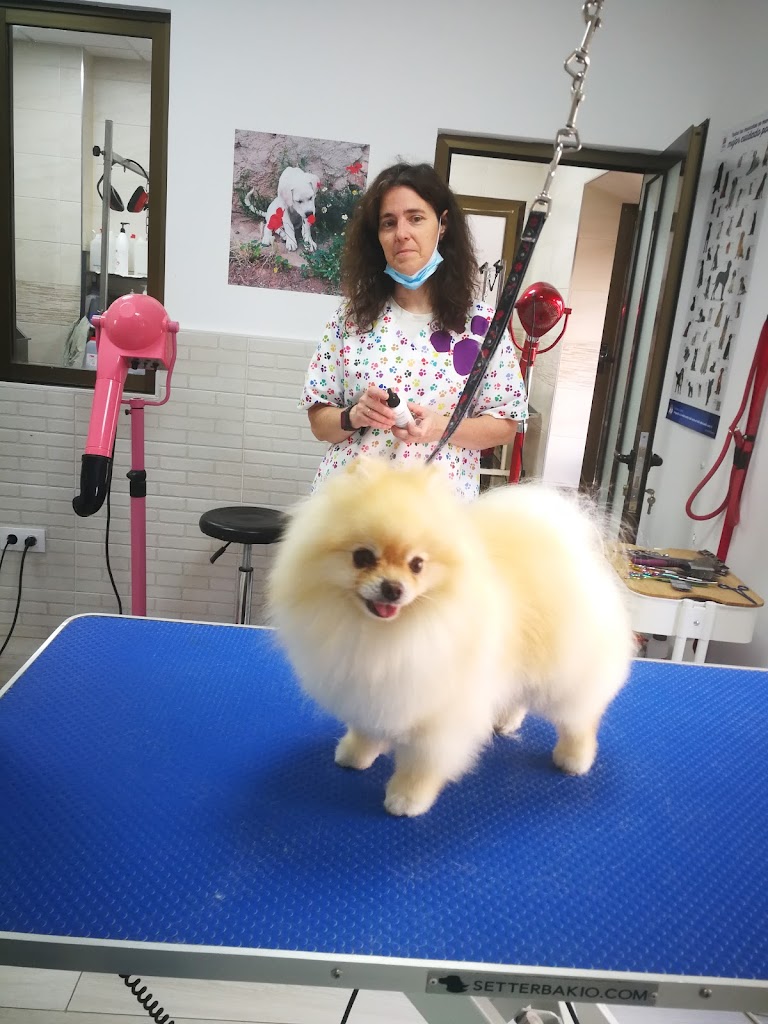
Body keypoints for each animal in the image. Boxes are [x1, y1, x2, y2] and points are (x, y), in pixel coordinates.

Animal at [268, 460, 634, 817]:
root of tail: (561, 538)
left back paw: (574, 758)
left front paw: (407, 798)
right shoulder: (370, 690)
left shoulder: (441, 714)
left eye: (417, 564)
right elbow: (366, 727)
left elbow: (422, 762)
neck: (382, 633)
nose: (393, 588)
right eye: (363, 557)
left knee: (579, 718)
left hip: (564, 675)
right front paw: (356, 753)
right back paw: (505, 721)